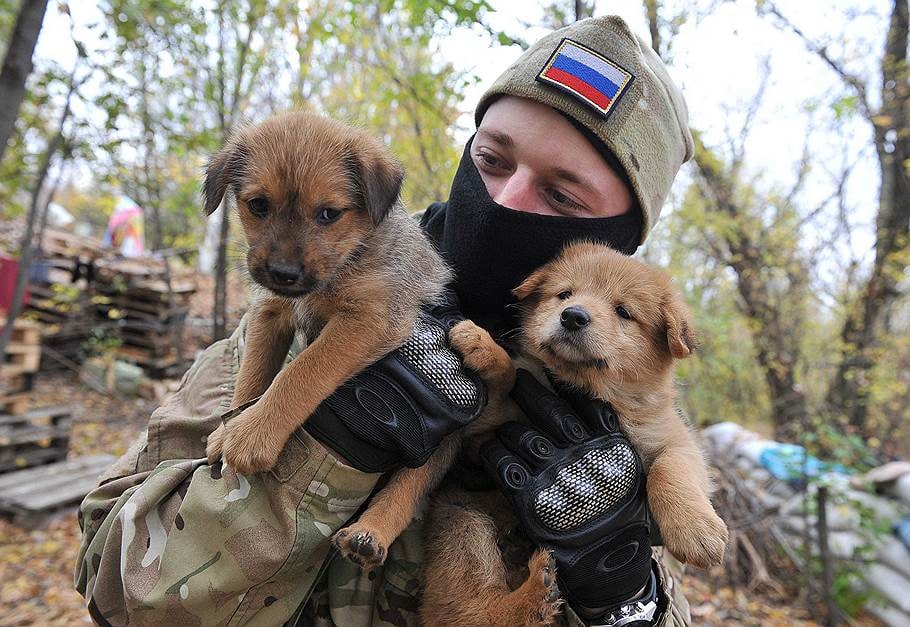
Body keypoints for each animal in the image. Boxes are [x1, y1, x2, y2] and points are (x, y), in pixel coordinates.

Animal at [203, 114, 452, 476]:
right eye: (258, 205)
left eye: (329, 213)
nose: (283, 273)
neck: (349, 259)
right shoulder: (270, 311)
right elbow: (252, 374)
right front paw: (227, 431)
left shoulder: (369, 318)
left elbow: (302, 371)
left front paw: (254, 433)